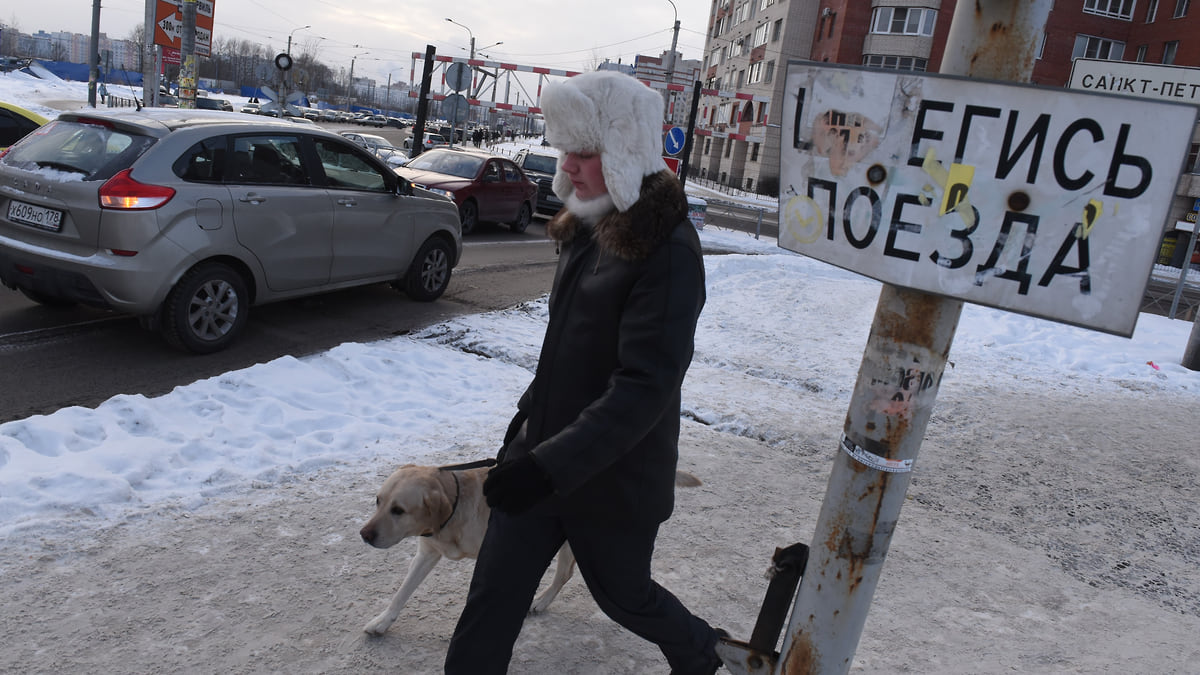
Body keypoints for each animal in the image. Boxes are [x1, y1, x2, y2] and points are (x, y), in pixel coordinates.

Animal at [355, 456, 700, 629]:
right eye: (378, 501)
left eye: (399, 510)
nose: (365, 535)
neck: (456, 504)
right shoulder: (426, 553)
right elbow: (402, 592)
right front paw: (382, 622)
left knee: (566, 574)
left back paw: (541, 601)